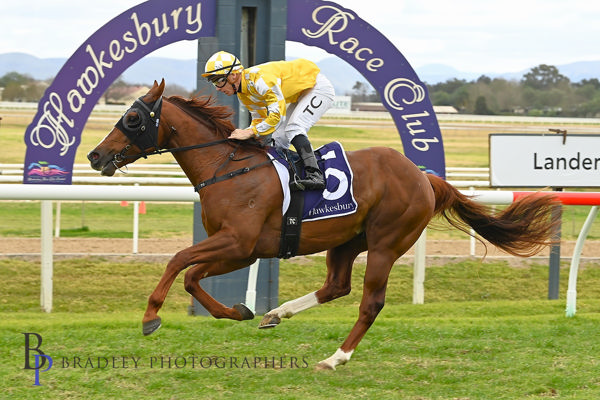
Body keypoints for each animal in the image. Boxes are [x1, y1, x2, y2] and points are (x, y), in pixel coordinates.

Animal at [88, 79, 556, 370]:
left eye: (132, 118)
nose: (95, 156)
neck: (227, 168)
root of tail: (423, 177)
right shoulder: (240, 249)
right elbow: (191, 276)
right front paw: (238, 311)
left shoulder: (239, 243)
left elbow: (178, 261)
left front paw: (150, 317)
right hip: (347, 240)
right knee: (337, 286)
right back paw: (275, 313)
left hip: (386, 242)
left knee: (370, 302)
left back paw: (336, 358)